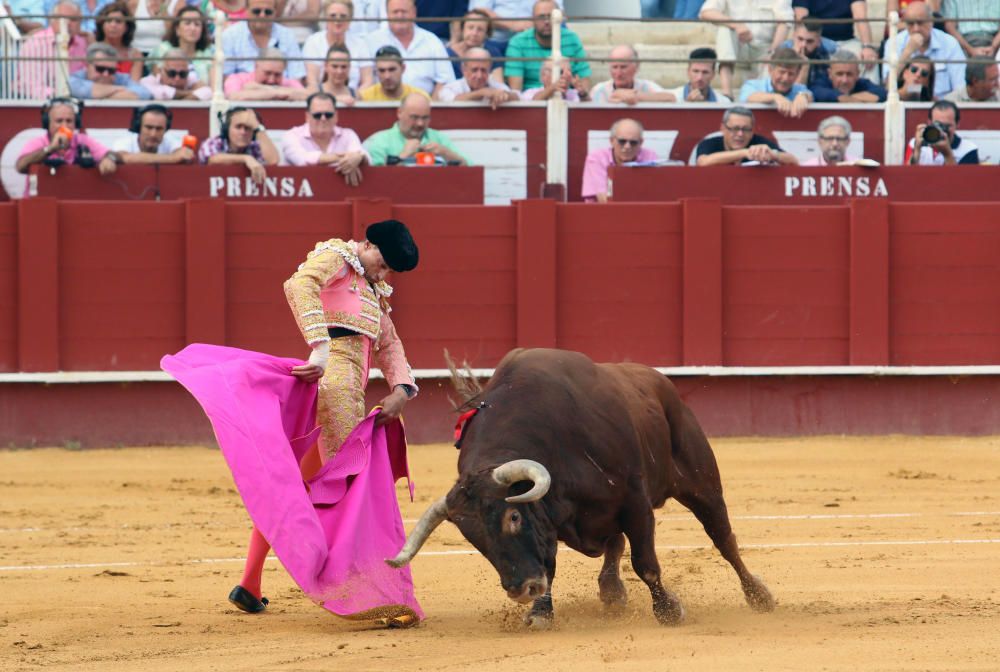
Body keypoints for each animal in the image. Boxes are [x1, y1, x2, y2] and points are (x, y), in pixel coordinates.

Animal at [386, 350, 776, 628]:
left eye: (513, 517)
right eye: (473, 537)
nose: (521, 589)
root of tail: (658, 381)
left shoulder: (635, 503)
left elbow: (645, 563)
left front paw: (668, 610)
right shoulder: (548, 519)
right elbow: (550, 563)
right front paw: (541, 612)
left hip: (701, 482)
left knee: (723, 539)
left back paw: (759, 596)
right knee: (614, 543)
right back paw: (612, 592)